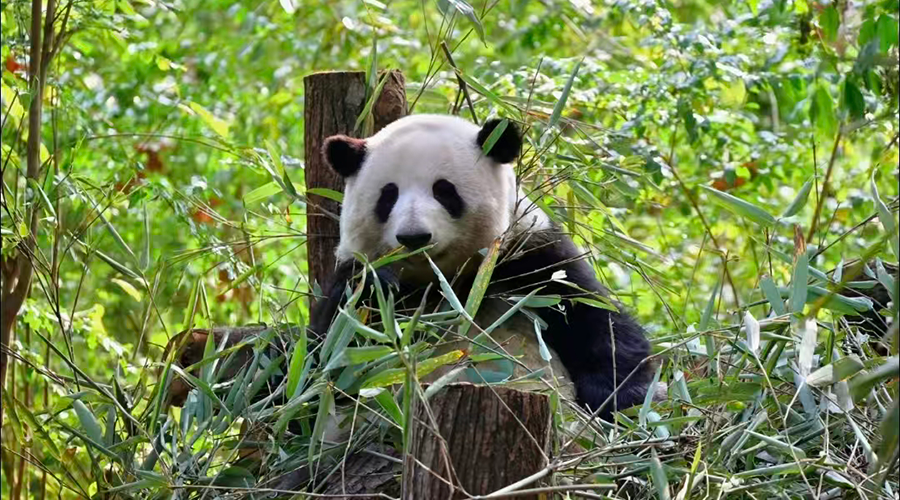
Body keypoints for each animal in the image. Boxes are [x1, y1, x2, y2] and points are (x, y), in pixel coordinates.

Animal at [311, 114, 653, 418]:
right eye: (388, 195)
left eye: (444, 190)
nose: (414, 236)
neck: (447, 284)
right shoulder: (355, 269)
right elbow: (327, 363)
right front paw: (377, 285)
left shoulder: (530, 255)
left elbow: (593, 319)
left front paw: (620, 399)